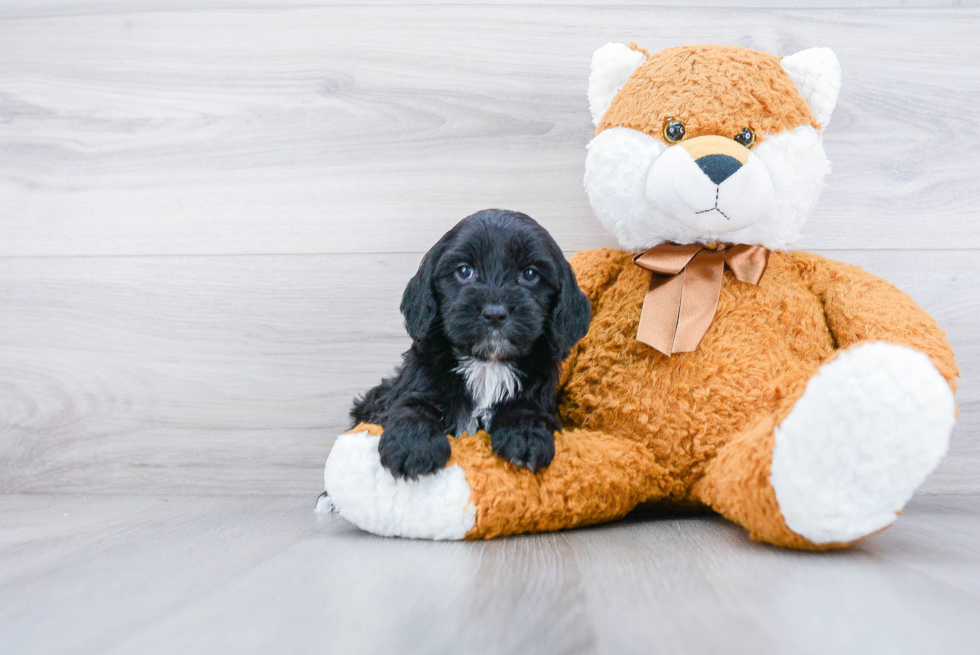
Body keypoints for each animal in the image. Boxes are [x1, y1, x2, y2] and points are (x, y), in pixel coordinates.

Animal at [352, 210, 588, 482]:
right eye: (464, 271)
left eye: (529, 274)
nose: (495, 313)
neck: (487, 364)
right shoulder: (417, 379)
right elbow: (412, 404)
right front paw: (413, 444)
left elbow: (528, 407)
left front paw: (526, 434)